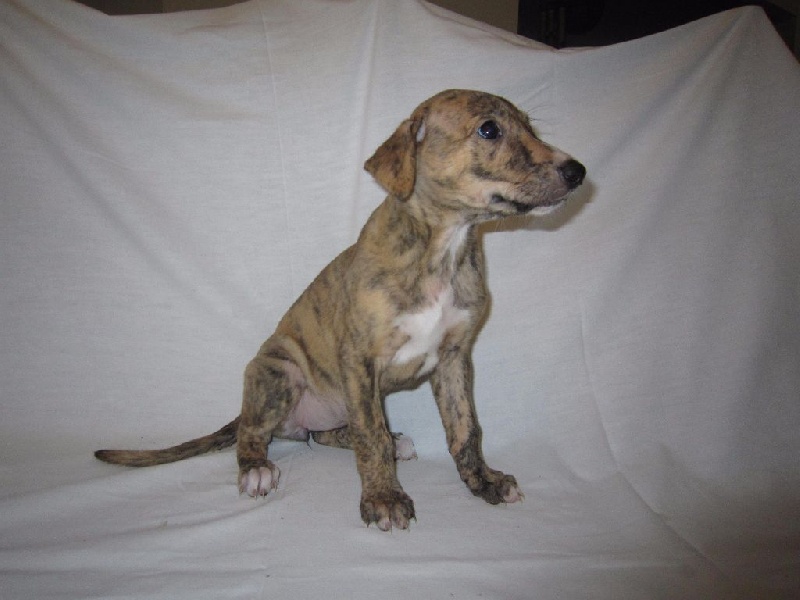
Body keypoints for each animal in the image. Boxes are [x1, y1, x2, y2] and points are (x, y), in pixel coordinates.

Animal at [95, 89, 586, 531]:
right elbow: (371, 437)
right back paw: (256, 469)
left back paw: (388, 441)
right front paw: (384, 497)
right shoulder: (360, 360)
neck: (442, 249)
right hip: (279, 373)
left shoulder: (454, 359)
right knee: (252, 433)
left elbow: (466, 429)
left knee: (327, 433)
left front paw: (483, 482)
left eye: (531, 126)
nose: (577, 171)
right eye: (489, 130)